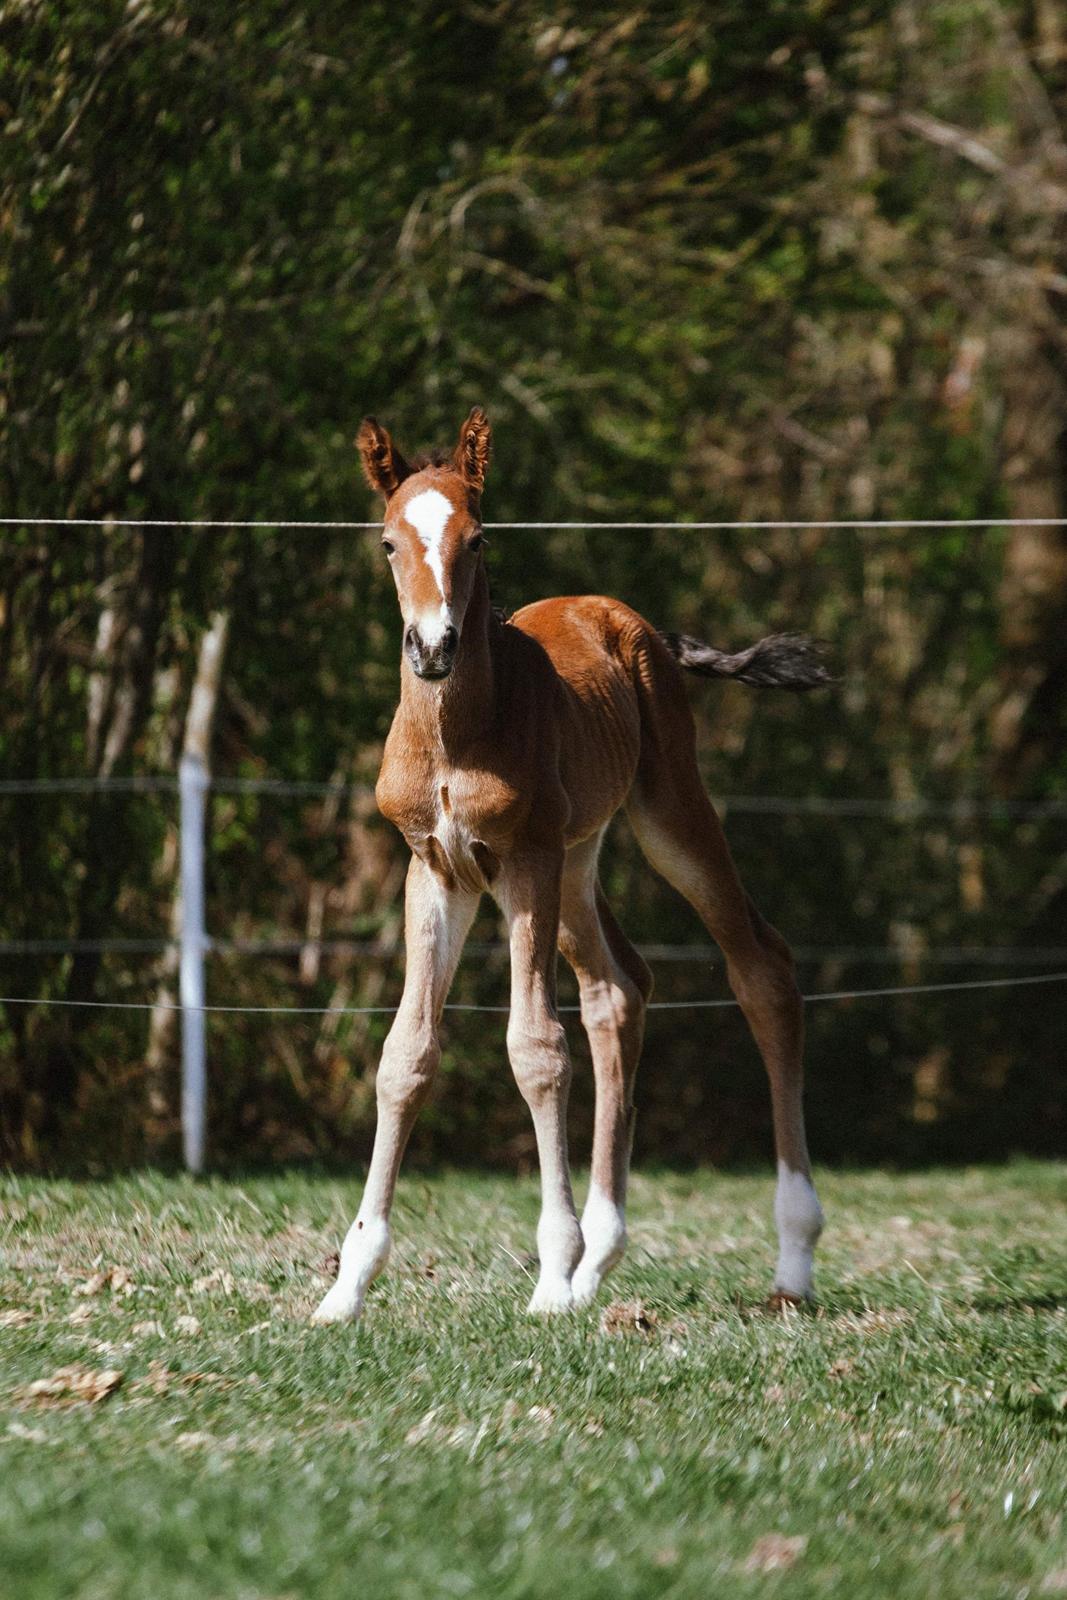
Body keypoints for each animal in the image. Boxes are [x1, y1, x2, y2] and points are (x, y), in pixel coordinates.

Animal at [313, 403, 831, 1324]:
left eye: (478, 537)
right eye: (387, 541)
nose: (434, 647)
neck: (456, 732)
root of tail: (637, 625)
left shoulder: (523, 864)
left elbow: (535, 1048)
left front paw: (549, 1276)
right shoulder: (434, 869)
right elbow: (405, 1055)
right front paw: (348, 1286)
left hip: (662, 817)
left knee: (760, 969)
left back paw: (790, 1260)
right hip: (580, 859)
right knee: (618, 990)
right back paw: (601, 1260)